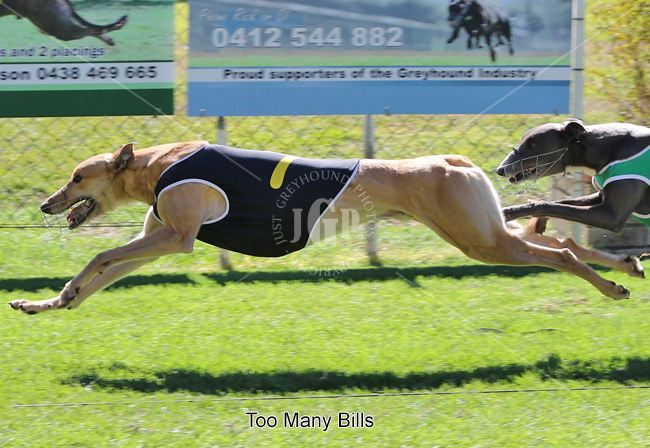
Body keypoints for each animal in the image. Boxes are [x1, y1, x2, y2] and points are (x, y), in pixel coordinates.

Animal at [8, 141, 644, 315]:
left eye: (77, 175)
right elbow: (98, 274)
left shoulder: (175, 237)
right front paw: (48, 302)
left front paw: (59, 294)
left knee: (561, 253)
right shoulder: (155, 243)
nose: (45, 204)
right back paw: (625, 264)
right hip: (488, 232)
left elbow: (98, 258)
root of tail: (452, 160)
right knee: (560, 239)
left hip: (479, 240)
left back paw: (611, 285)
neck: (158, 164)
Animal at [496, 118, 650, 235]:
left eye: (532, 144)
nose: (500, 170)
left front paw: (511, 212)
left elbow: (547, 205)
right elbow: (560, 203)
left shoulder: (610, 216)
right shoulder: (598, 196)